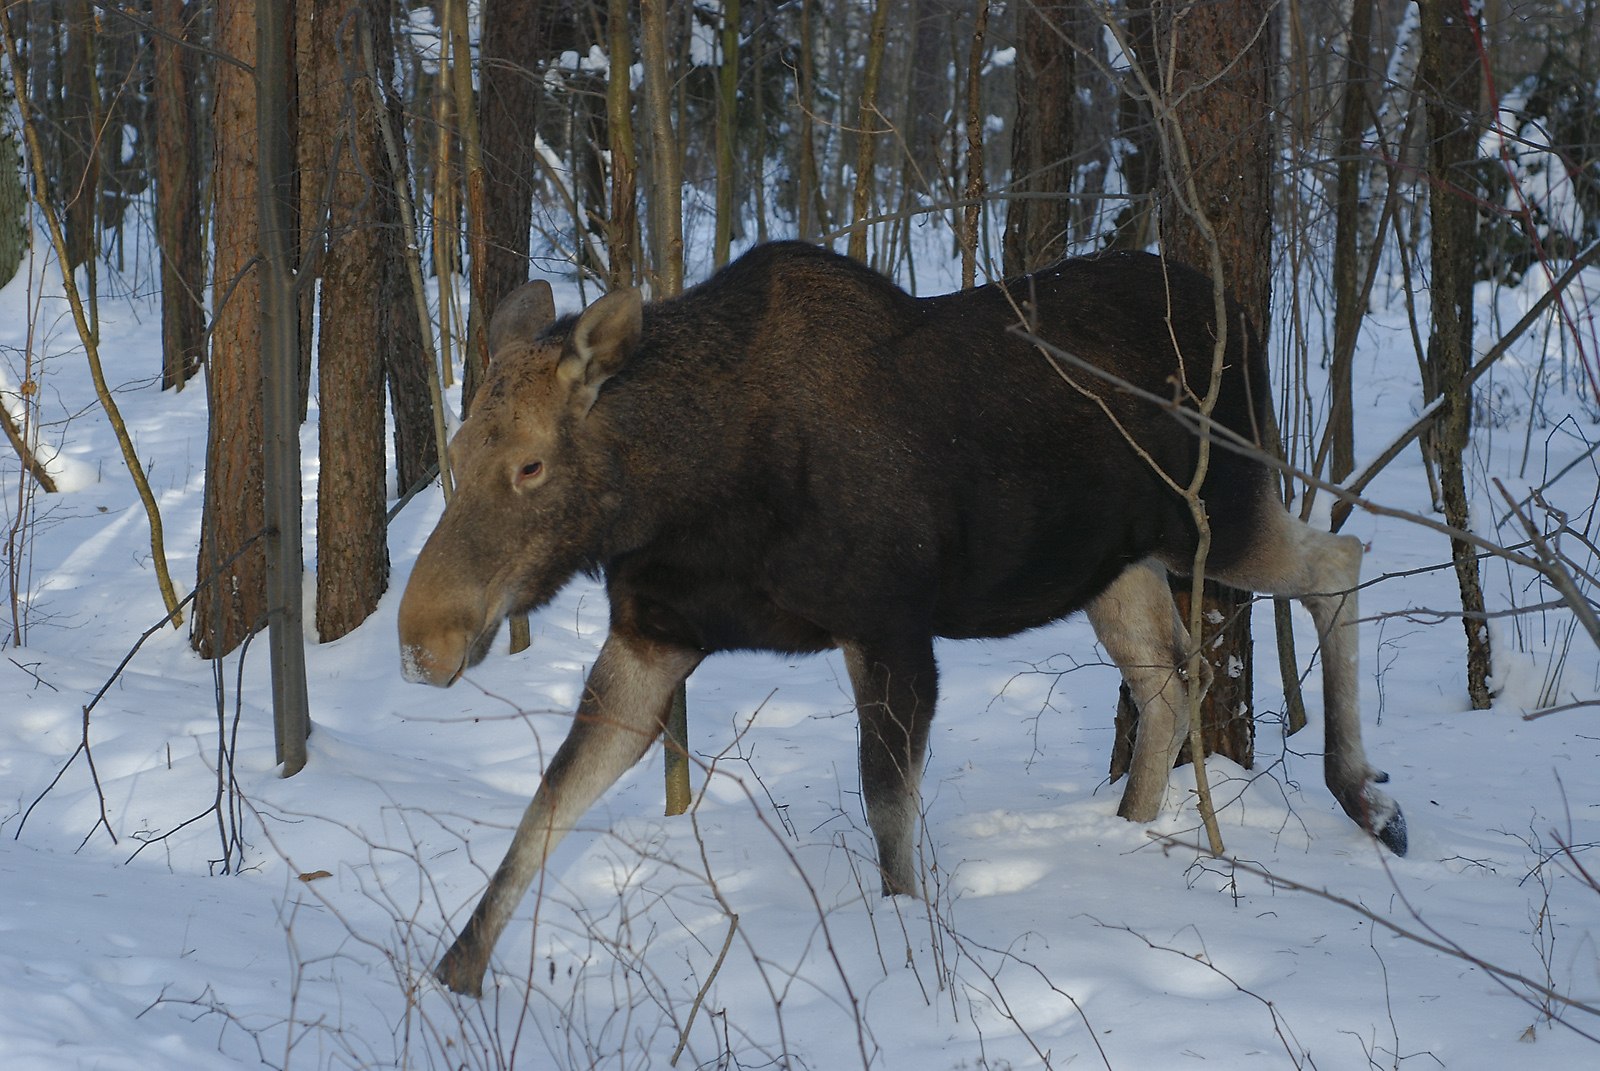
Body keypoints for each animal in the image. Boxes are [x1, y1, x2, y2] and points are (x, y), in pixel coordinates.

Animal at [396, 240, 1401, 992]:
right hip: (1113, 564)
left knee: (1339, 557)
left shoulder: (888, 624)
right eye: (456, 449)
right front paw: (457, 969)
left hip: (1218, 511)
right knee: (1171, 670)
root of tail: (1240, 311)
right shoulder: (656, 633)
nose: (421, 639)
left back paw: (1365, 795)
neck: (688, 493)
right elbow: (550, 796)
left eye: (530, 464)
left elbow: (886, 807)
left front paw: (911, 950)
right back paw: (1128, 828)